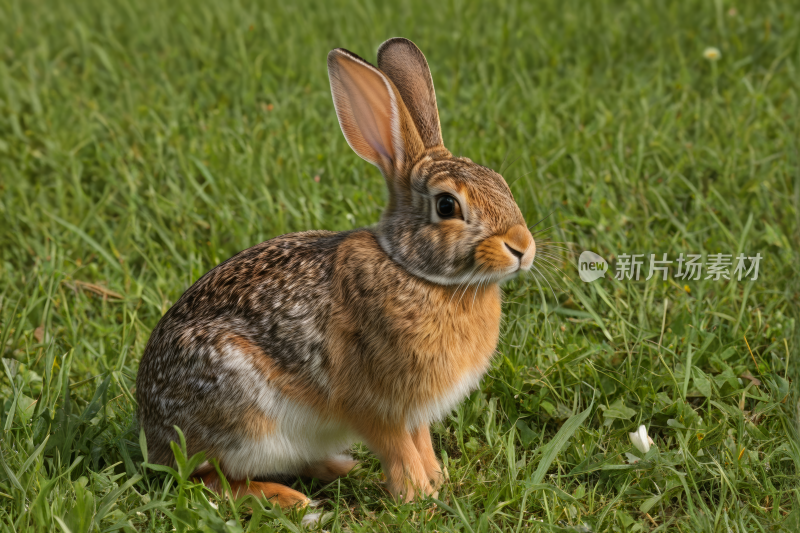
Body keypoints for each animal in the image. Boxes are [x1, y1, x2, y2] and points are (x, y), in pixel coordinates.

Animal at [136, 38, 536, 508]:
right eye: (446, 205)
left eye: (499, 181)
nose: (523, 247)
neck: (415, 271)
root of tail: (151, 433)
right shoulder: (376, 406)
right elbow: (398, 450)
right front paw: (418, 497)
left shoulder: (414, 412)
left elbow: (421, 443)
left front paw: (437, 482)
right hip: (242, 416)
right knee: (205, 479)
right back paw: (291, 500)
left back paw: (338, 467)